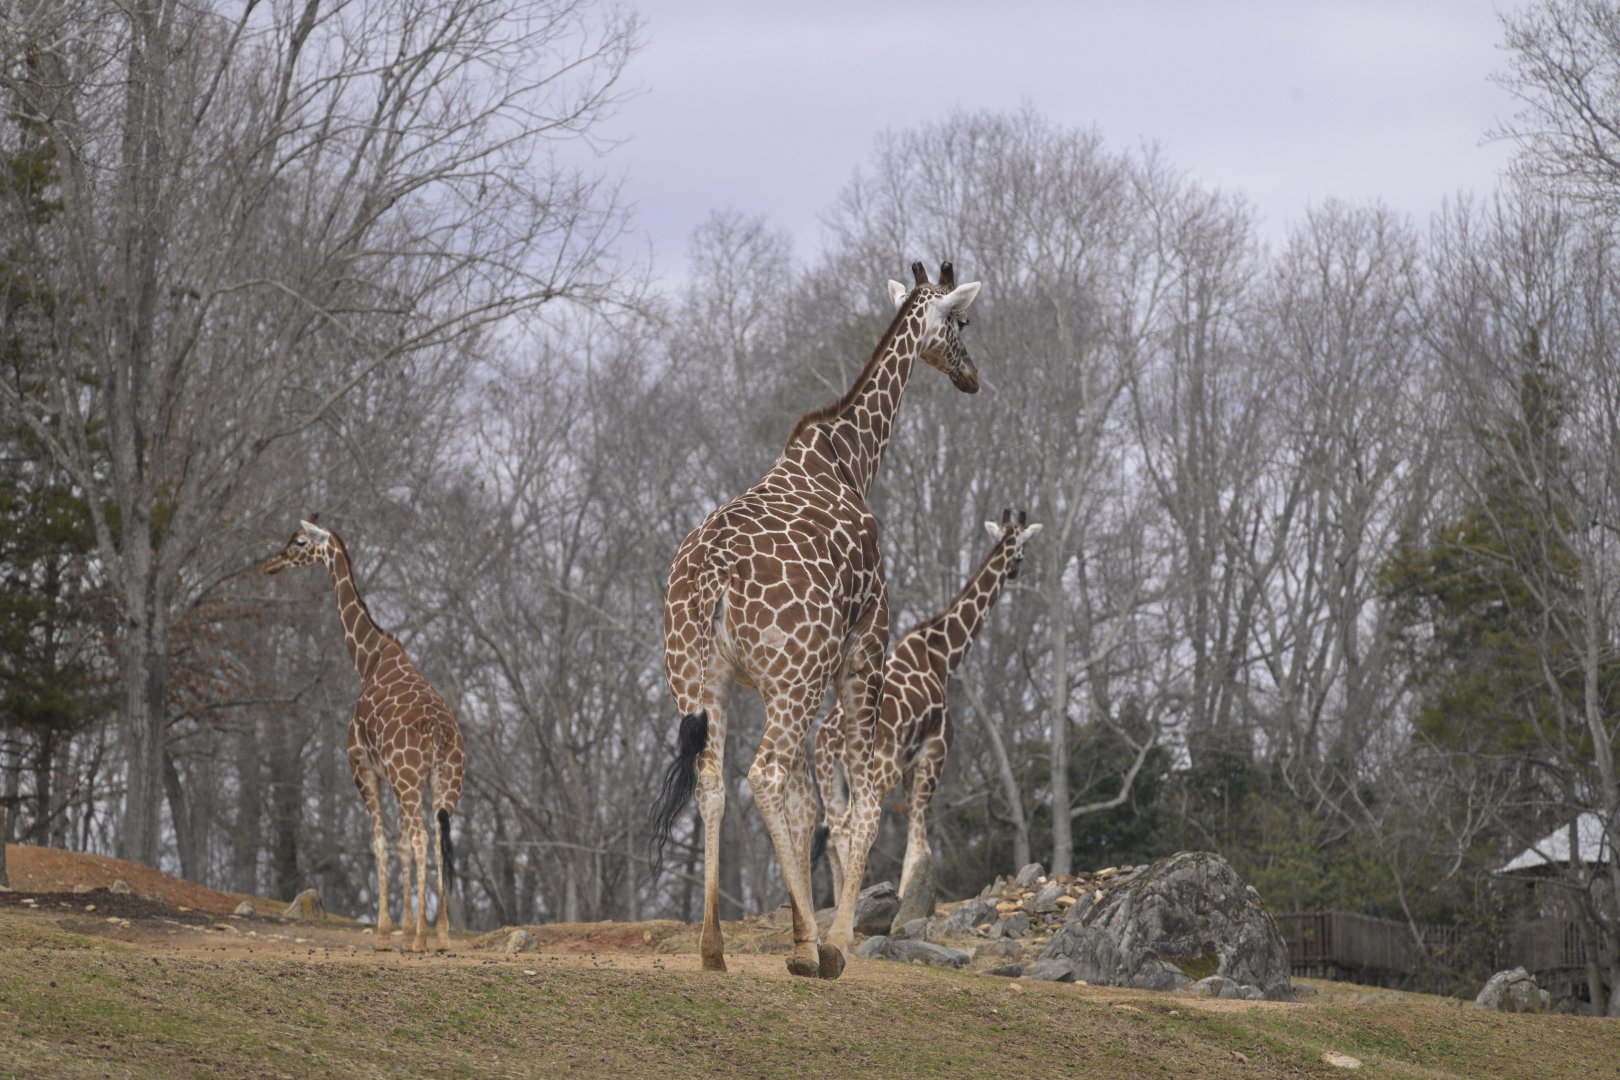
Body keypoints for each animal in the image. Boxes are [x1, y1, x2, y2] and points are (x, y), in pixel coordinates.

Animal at [261, 518, 465, 952]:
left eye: (298, 542)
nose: (270, 564)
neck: (368, 659)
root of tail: (440, 733)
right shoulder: (391, 776)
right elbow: (400, 843)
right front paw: (406, 926)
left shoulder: (362, 767)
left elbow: (381, 842)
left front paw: (388, 931)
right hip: (445, 781)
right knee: (438, 837)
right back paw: (440, 935)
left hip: (409, 779)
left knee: (422, 838)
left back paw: (421, 939)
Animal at [648, 261, 984, 979]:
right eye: (963, 322)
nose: (972, 375)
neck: (849, 459)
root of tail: (713, 576)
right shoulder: (866, 643)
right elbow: (858, 804)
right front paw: (837, 941)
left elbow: (812, 806)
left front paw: (815, 933)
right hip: (793, 679)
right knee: (765, 776)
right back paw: (810, 951)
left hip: (698, 678)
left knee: (714, 781)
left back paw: (714, 949)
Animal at [815, 510, 1041, 904]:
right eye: (1022, 549)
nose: (1016, 569)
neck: (944, 657)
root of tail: (827, 740)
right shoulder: (934, 752)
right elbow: (921, 844)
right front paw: (909, 895)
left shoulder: (909, 766)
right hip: (878, 768)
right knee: (846, 827)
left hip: (830, 780)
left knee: (830, 831)